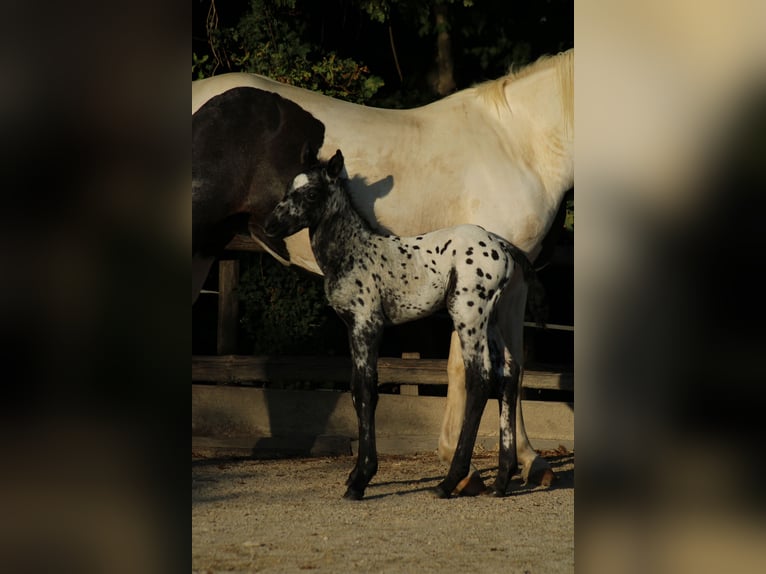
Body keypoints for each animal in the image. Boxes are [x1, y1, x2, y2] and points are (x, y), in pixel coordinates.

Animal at [264, 150, 545, 499]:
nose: (270, 225)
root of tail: (503, 247)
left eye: (313, 193)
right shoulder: (351, 329)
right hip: (495, 318)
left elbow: (367, 391)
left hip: (469, 314)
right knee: (508, 374)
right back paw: (501, 482)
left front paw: (361, 479)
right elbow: (355, 391)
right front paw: (355, 474)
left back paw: (449, 482)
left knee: (480, 379)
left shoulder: (367, 324)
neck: (353, 252)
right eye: (288, 188)